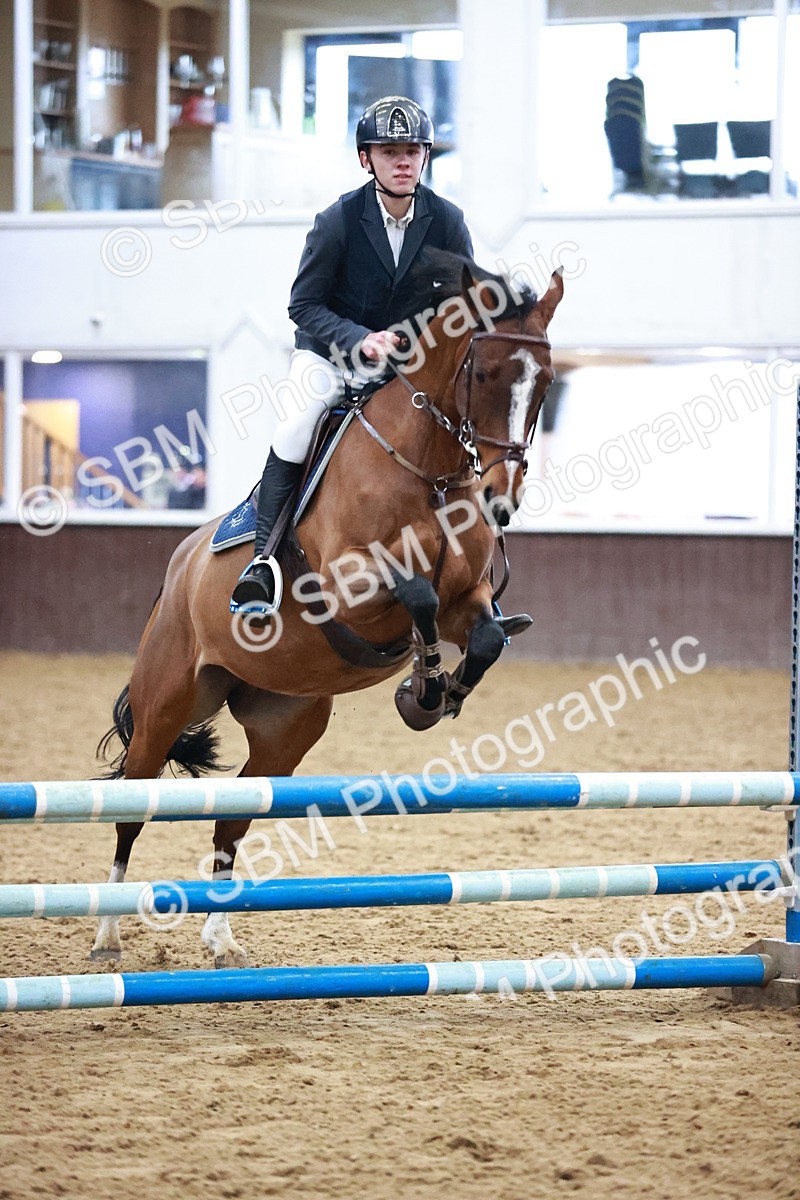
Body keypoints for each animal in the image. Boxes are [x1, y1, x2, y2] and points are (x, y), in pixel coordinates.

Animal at [92, 250, 563, 967]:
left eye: (546, 384)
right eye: (482, 373)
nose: (500, 499)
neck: (429, 469)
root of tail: (181, 563)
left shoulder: (468, 600)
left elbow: (481, 636)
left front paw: (434, 693)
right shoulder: (350, 586)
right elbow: (416, 593)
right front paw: (425, 687)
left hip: (285, 725)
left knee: (234, 814)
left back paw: (221, 937)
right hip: (167, 702)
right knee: (132, 802)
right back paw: (108, 933)